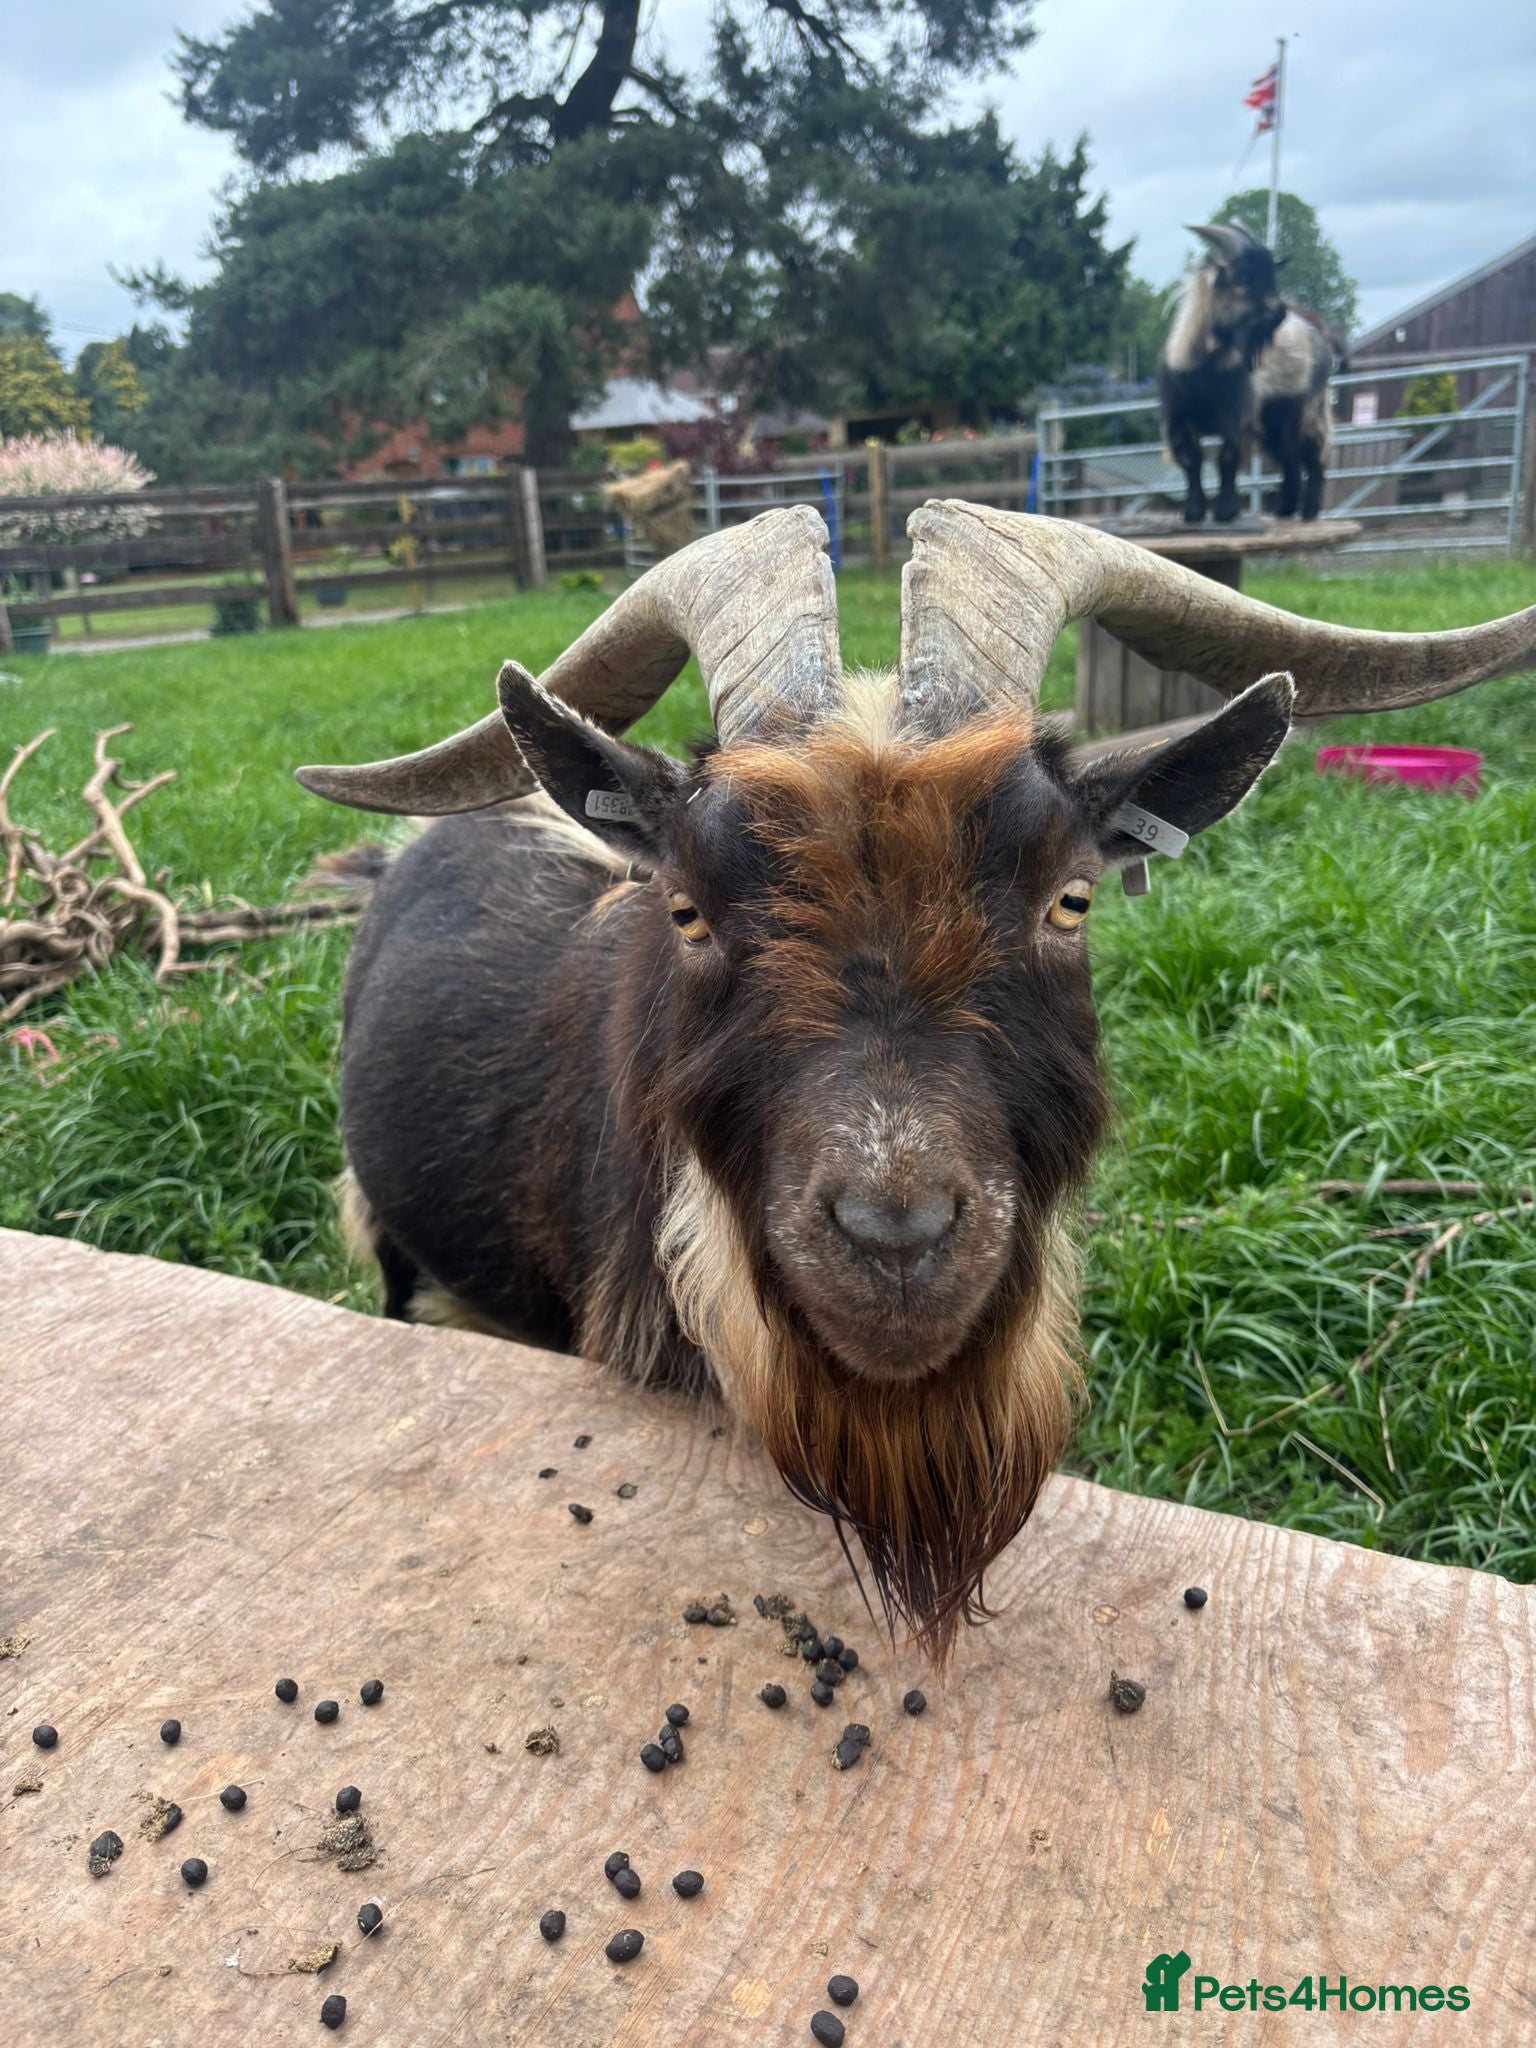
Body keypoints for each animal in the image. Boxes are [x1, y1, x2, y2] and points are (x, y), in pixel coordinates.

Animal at [1161, 221, 1334, 523]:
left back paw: (1309, 511)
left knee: (1314, 453)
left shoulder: (1237, 416)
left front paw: (1225, 511)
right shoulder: (1178, 419)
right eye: (1242, 277)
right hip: (1274, 419)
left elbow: (1227, 459)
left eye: (1272, 275)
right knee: (1289, 454)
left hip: (1307, 407)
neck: (1203, 367)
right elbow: (1192, 462)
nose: (1279, 312)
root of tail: (1316, 333)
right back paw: (1285, 508)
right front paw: (1193, 512)